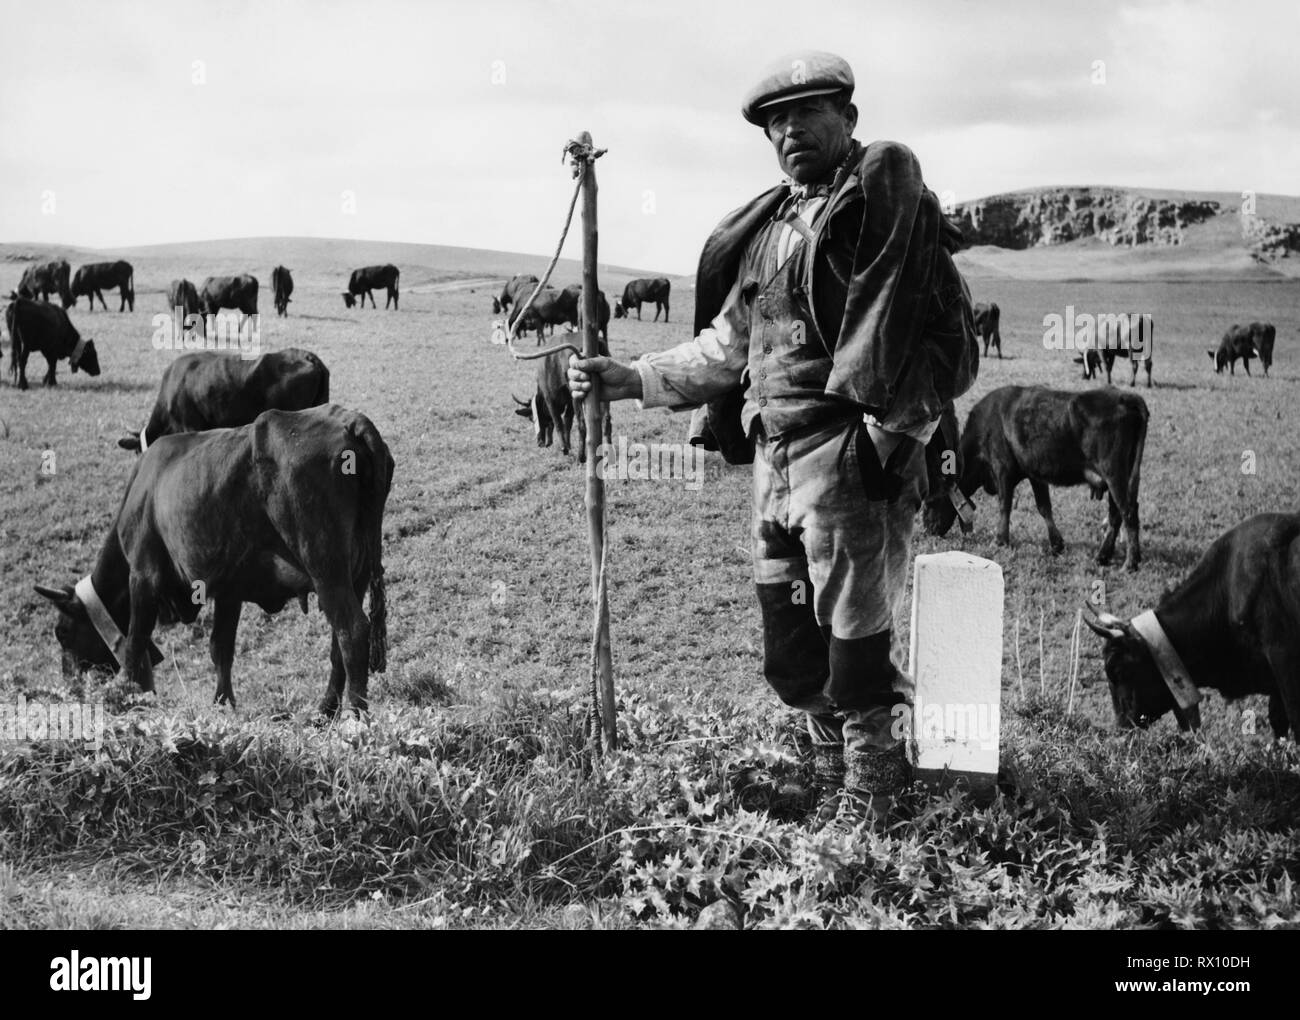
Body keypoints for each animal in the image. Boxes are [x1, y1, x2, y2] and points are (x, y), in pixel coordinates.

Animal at [34, 402, 390, 712]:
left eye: (63, 633)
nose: (70, 685)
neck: (146, 488)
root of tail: (349, 420)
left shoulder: (144, 575)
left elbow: (135, 643)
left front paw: (130, 696)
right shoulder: (229, 589)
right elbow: (221, 648)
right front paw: (222, 703)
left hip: (325, 568)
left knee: (352, 632)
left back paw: (354, 715)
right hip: (355, 573)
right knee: (338, 644)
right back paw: (325, 709)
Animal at [925, 384, 1149, 569]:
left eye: (929, 501)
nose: (928, 530)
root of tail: (1126, 397)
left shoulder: (1002, 471)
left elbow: (1004, 505)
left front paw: (1000, 540)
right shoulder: (1035, 475)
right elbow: (1044, 507)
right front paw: (1056, 545)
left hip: (1114, 475)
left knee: (1128, 512)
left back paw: (1130, 563)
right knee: (1116, 515)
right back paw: (1103, 556)